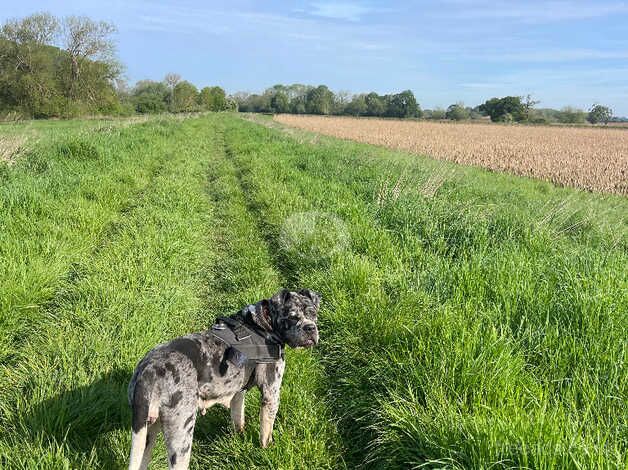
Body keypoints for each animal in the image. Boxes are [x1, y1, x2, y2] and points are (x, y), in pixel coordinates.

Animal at [127, 288, 318, 468]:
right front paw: (267, 450)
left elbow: (238, 417)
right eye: (292, 317)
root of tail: (148, 372)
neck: (263, 325)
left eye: (313, 313)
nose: (310, 328)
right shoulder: (271, 392)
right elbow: (266, 431)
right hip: (181, 436)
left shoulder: (238, 392)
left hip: (147, 433)